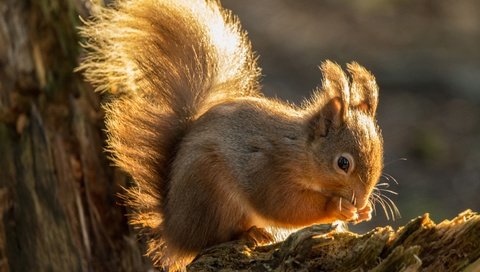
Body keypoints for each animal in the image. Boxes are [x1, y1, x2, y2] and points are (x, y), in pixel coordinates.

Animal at [78, 0, 382, 268]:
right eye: (343, 163)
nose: (361, 199)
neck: (298, 150)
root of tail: (174, 229)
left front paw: (364, 211)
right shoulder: (266, 168)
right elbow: (283, 206)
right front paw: (338, 207)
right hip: (212, 193)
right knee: (212, 239)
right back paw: (250, 233)